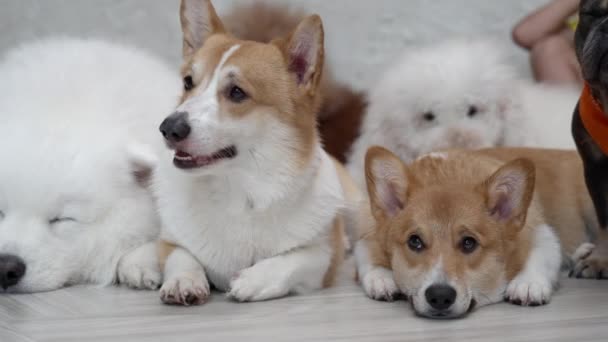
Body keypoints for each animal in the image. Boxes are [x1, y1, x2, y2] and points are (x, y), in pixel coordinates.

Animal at [153, 0, 360, 304]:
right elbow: (181, 256)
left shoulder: (324, 258)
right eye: (188, 82)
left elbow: (292, 260)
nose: (168, 128)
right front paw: (184, 281)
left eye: (237, 92)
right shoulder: (170, 242)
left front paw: (252, 280)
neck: (238, 191)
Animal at [356, 146, 604, 318]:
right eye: (414, 241)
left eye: (469, 243)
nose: (439, 296)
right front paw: (382, 278)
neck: (447, 176)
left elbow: (541, 256)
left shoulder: (541, 231)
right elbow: (366, 256)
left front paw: (527, 284)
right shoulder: (367, 231)